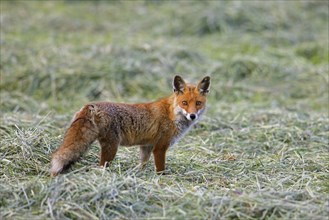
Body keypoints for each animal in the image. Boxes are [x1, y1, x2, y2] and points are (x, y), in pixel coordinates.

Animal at [51, 75, 210, 175]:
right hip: (112, 148)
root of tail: (91, 105)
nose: (192, 116)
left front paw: (138, 174)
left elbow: (142, 163)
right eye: (184, 103)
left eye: (198, 103)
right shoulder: (160, 148)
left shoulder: (147, 146)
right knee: (102, 166)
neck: (172, 114)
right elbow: (160, 169)